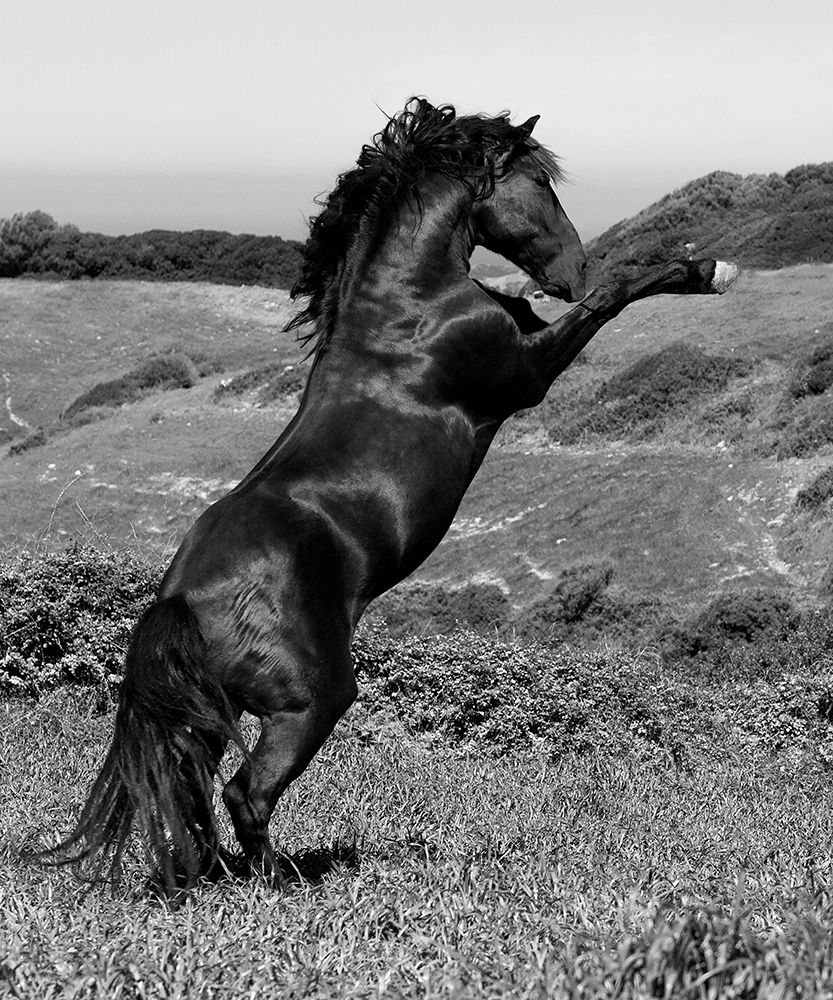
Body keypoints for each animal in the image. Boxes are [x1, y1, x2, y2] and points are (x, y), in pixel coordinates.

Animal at [42, 98, 737, 892]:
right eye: (539, 181)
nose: (571, 267)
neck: (410, 305)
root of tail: (180, 600)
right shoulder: (528, 372)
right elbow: (613, 297)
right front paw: (706, 269)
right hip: (311, 701)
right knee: (246, 793)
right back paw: (284, 880)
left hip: (208, 714)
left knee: (193, 790)